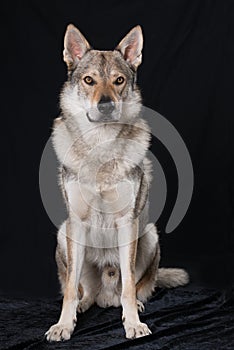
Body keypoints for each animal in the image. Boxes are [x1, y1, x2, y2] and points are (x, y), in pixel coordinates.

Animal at [45, 23, 188, 342]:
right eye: (89, 80)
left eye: (118, 81)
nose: (107, 105)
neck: (101, 147)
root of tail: (104, 294)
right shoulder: (77, 222)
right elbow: (70, 290)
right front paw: (63, 325)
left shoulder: (127, 221)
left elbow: (130, 285)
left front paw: (133, 323)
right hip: (64, 234)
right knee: (83, 290)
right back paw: (83, 306)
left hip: (148, 234)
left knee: (133, 287)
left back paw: (132, 304)